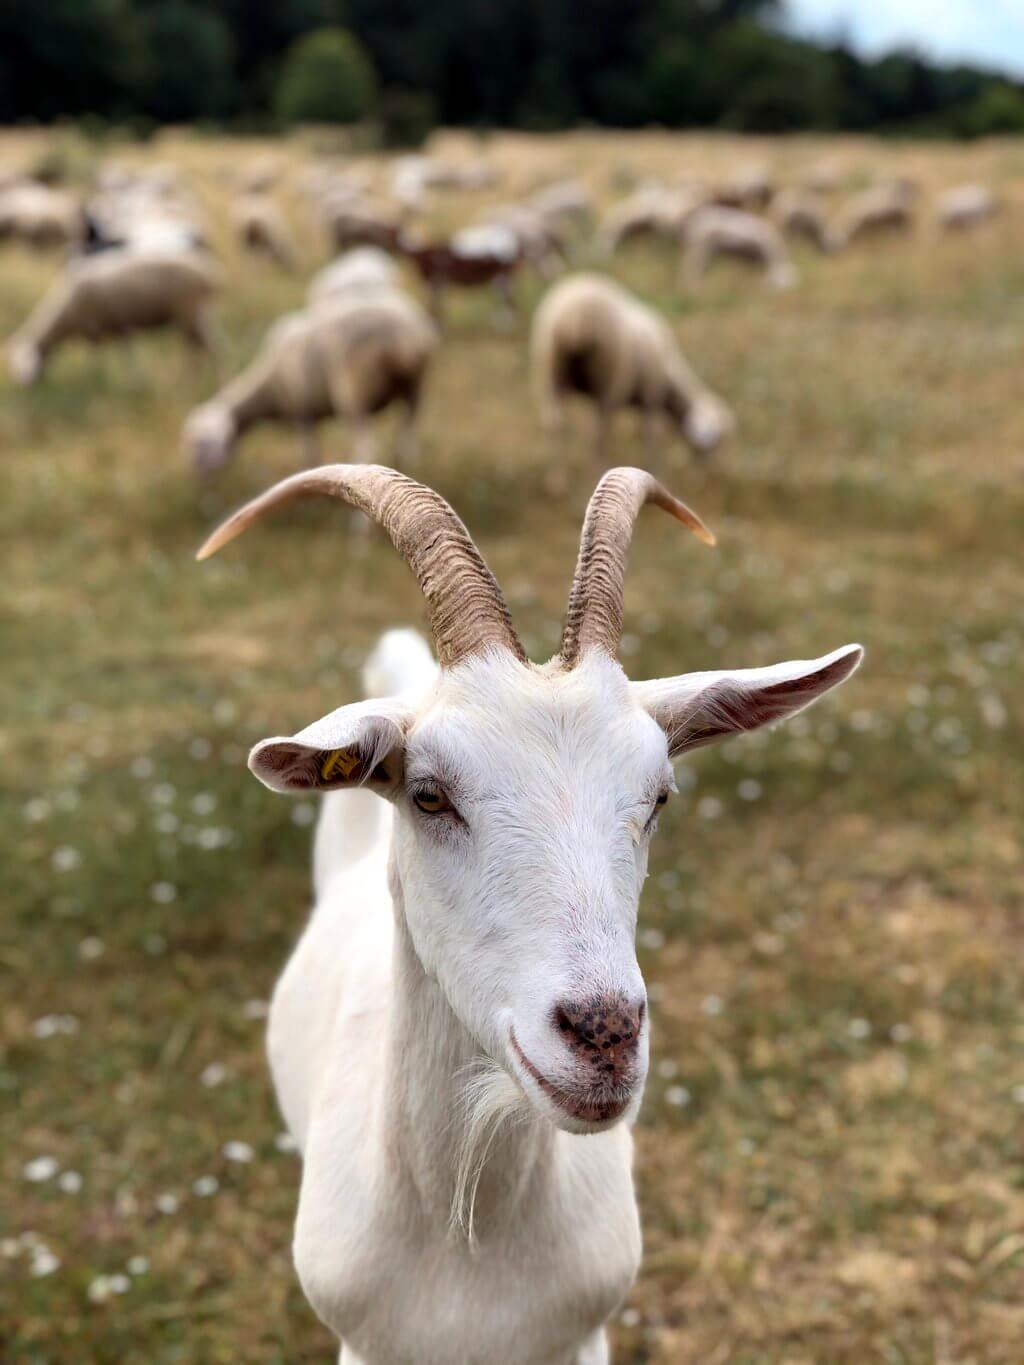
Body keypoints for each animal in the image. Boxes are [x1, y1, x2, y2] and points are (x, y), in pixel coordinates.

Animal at [8, 245, 221, 382]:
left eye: (29, 361)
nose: (27, 385)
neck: (67, 312)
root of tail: (208, 273)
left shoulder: (103, 328)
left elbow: (104, 356)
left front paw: (100, 376)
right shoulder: (116, 327)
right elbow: (123, 355)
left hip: (190, 313)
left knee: (209, 346)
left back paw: (209, 376)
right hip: (194, 316)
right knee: (200, 345)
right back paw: (195, 376)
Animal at [182, 290, 436, 477]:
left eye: (203, 443)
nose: (199, 478)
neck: (270, 386)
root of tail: (403, 339)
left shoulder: (302, 410)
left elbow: (310, 454)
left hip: (355, 395)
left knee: (368, 451)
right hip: (415, 388)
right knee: (407, 441)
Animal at [529, 273, 737, 464]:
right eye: (715, 439)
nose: (710, 463)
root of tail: (573, 317)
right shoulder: (651, 397)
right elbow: (649, 436)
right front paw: (652, 463)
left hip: (550, 371)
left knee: (554, 424)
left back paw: (555, 471)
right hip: (609, 381)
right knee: (599, 435)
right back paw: (597, 465)